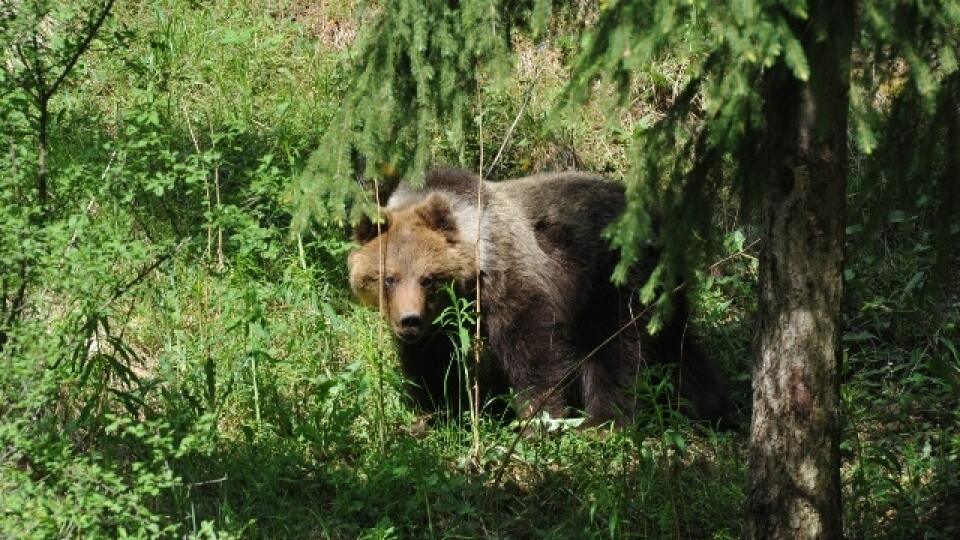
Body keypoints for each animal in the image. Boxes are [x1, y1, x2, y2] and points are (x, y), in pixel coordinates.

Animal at [348, 169, 732, 426]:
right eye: (388, 278)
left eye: (429, 279)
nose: (409, 321)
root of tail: (657, 215)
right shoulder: (439, 326)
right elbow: (432, 362)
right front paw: (435, 411)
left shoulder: (511, 274)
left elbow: (533, 346)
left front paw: (539, 417)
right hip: (662, 288)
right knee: (677, 344)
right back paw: (709, 405)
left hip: (612, 278)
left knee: (618, 349)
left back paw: (604, 420)